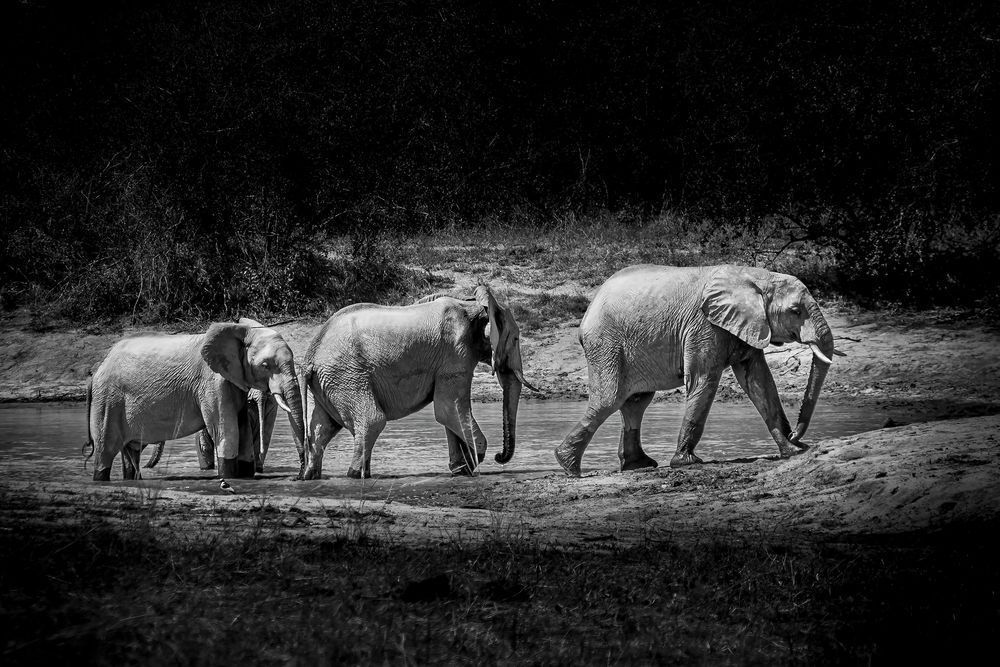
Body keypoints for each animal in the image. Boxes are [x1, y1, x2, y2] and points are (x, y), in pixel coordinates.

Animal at [137, 388, 277, 474]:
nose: (144, 467)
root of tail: (259, 395)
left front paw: (206, 469)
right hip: (269, 406)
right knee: (264, 437)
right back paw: (257, 469)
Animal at [298, 284, 535, 479]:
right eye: (516, 339)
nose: (499, 456)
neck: (473, 305)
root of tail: (311, 356)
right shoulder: (456, 353)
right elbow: (448, 409)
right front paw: (471, 462)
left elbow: (449, 412)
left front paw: (461, 469)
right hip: (347, 375)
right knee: (372, 420)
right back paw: (354, 475)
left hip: (326, 382)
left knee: (322, 428)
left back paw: (310, 476)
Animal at [555, 264, 836, 476]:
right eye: (795, 311)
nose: (796, 434)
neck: (755, 276)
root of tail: (590, 307)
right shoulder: (704, 326)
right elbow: (704, 381)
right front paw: (686, 463)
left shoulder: (748, 326)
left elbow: (759, 381)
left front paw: (793, 451)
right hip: (605, 344)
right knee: (609, 400)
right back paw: (568, 466)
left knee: (635, 402)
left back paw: (638, 465)